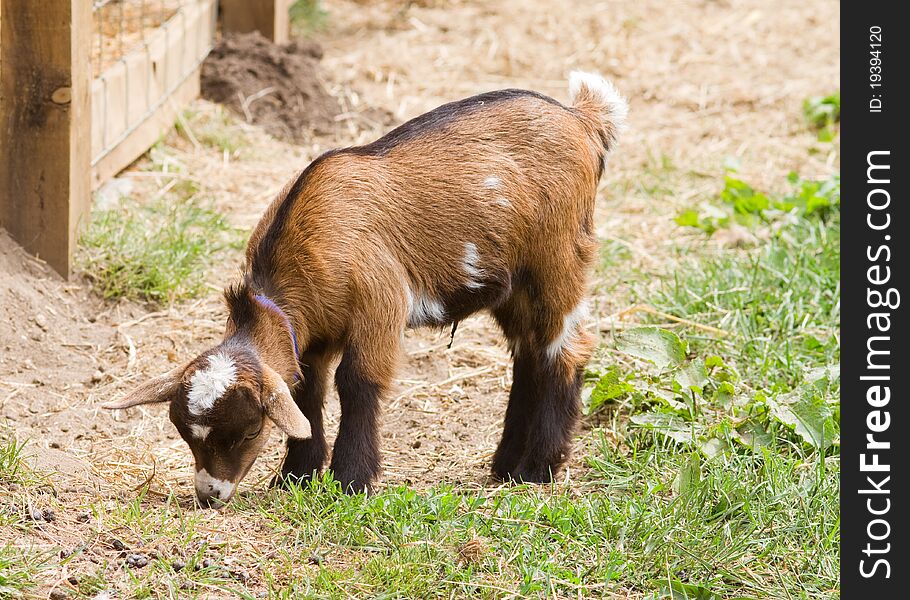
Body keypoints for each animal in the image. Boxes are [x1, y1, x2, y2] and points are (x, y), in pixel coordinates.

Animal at [101, 74, 628, 506]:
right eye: (185, 435)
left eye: (249, 430)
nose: (210, 494)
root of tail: (582, 118)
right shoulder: (311, 336)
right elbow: (306, 391)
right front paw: (295, 476)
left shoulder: (380, 304)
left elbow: (357, 383)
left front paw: (350, 480)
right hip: (513, 285)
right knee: (530, 352)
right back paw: (507, 467)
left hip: (558, 258)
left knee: (567, 347)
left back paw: (539, 468)